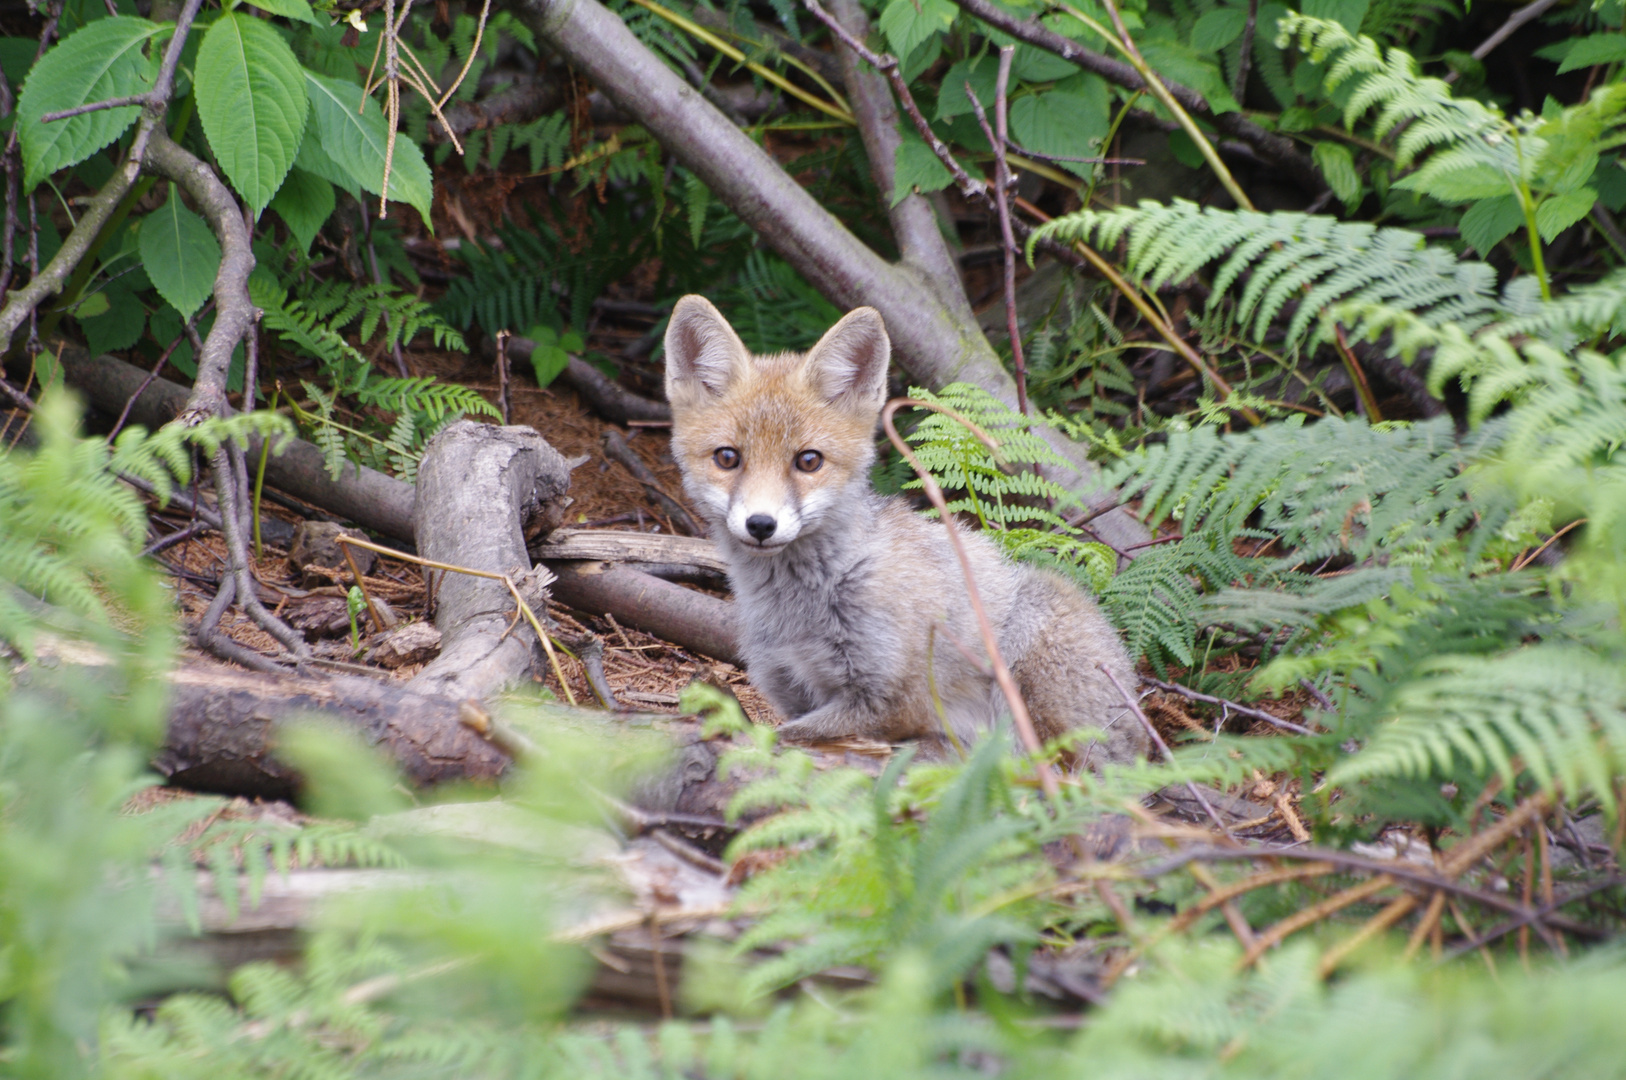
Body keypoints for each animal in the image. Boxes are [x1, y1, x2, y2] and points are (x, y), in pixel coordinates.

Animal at [660, 296, 1144, 764]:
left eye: (808, 460)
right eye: (727, 457)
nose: (761, 524)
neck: (805, 606)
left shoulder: (894, 699)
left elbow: (786, 736)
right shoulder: (788, 683)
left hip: (1032, 638)